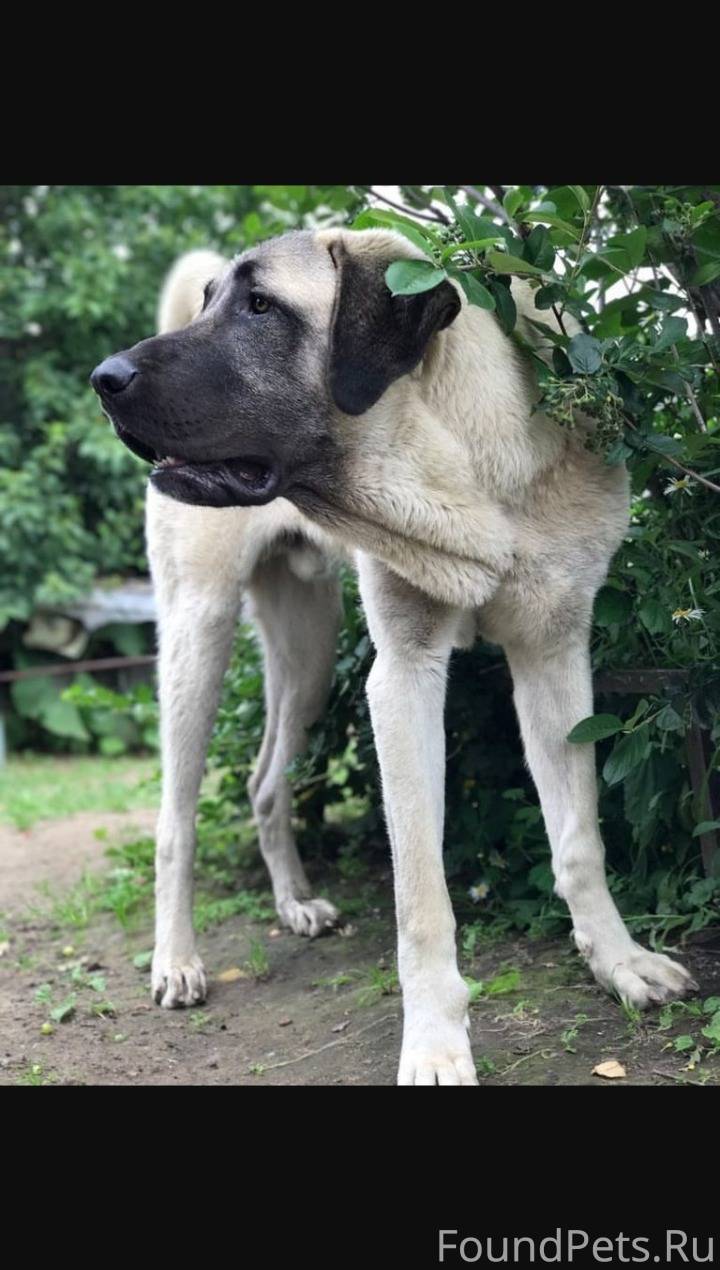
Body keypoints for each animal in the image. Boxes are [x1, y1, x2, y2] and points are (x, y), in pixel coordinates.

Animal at [90, 226, 700, 1082]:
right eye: (212, 301)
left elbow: (581, 838)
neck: (471, 470)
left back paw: (294, 902)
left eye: (260, 305)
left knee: (264, 780)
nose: (103, 378)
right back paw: (175, 961)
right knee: (175, 820)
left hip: (309, 659)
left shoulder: (555, 654)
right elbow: (422, 897)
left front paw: (619, 962)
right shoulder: (404, 679)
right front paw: (437, 1042)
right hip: (196, 637)